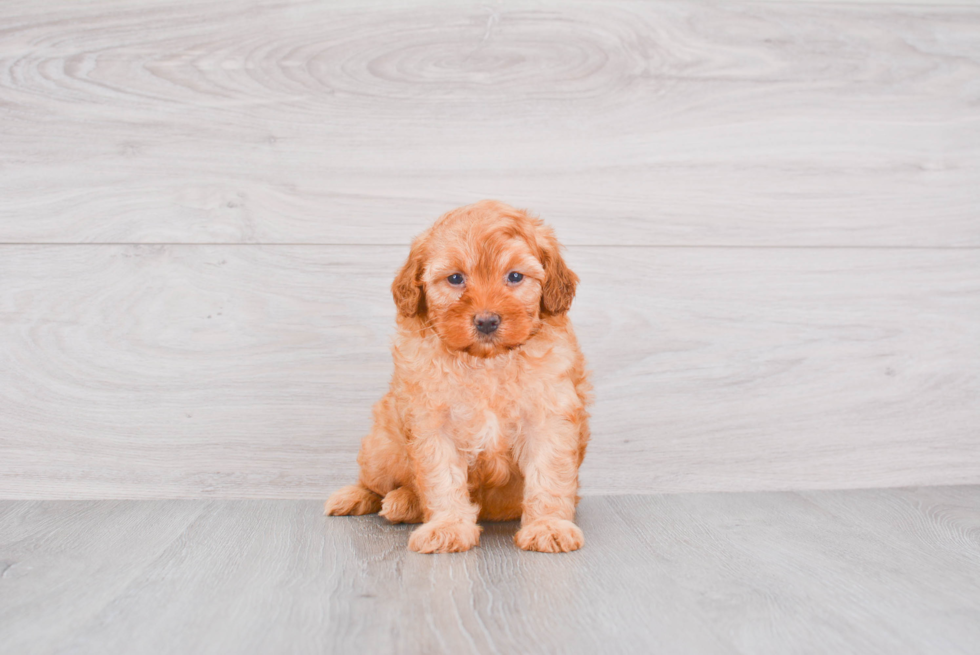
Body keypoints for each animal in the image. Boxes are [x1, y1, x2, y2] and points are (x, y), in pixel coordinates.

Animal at [328, 200, 588, 552]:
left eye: (515, 276)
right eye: (455, 278)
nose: (487, 321)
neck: (487, 362)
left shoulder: (548, 418)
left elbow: (549, 475)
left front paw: (548, 526)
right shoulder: (433, 423)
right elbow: (442, 479)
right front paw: (448, 527)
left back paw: (403, 503)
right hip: (380, 450)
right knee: (375, 482)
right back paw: (363, 497)